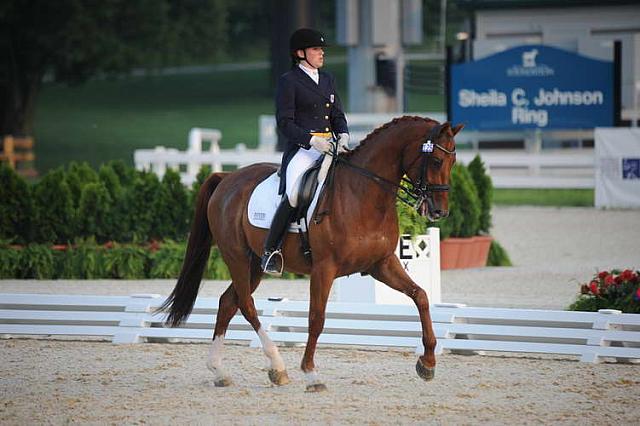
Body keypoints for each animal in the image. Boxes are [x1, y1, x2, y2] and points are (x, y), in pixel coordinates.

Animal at [159, 116, 460, 392]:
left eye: (453, 161)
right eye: (435, 161)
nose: (439, 211)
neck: (362, 193)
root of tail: (226, 178)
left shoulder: (382, 264)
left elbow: (421, 296)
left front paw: (427, 363)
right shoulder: (324, 268)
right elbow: (317, 318)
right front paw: (311, 374)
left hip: (255, 265)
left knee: (227, 303)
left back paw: (219, 371)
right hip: (237, 258)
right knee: (246, 305)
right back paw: (277, 366)